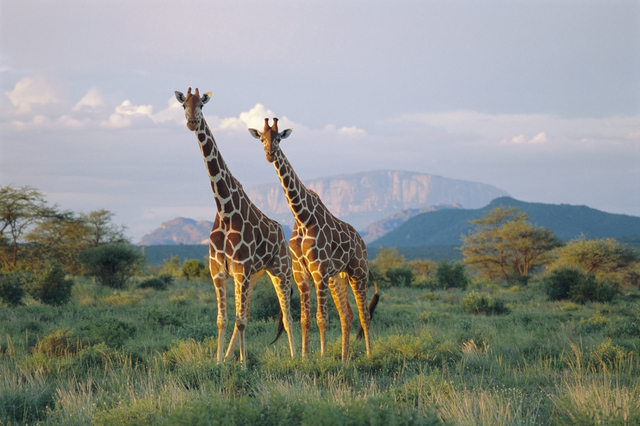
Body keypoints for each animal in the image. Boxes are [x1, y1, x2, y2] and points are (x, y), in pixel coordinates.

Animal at [174, 88, 296, 368]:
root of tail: (281, 231)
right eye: (184, 105)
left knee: (287, 316)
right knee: (248, 314)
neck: (225, 209)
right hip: (255, 276)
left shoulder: (240, 270)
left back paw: (299, 356)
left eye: (202, 105)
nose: (191, 122)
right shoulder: (219, 270)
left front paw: (243, 366)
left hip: (280, 270)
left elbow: (240, 321)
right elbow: (224, 319)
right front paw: (220, 363)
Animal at [250, 117, 380, 362]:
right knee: (347, 314)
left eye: (279, 138)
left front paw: (322, 356)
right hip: (337, 277)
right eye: (261, 139)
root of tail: (361, 241)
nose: (269, 154)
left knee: (364, 314)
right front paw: (304, 357)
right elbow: (305, 318)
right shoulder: (301, 272)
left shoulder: (318, 270)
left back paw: (368, 355)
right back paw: (344, 359)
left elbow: (322, 318)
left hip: (358, 272)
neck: (302, 216)